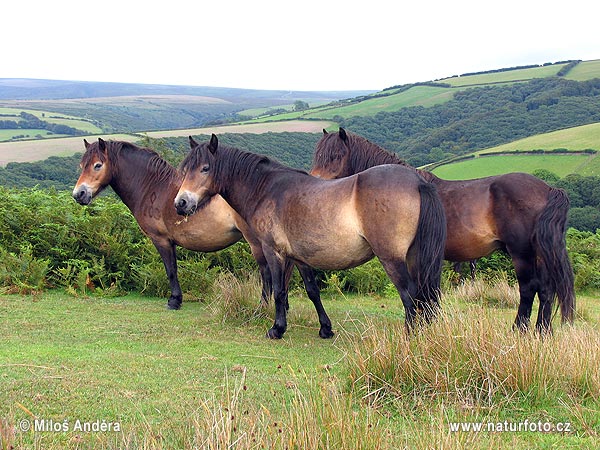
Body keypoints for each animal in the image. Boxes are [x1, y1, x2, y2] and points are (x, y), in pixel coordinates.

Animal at [71, 138, 274, 310]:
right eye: (81, 165)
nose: (79, 194)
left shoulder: (161, 240)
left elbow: (170, 270)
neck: (153, 187)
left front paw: (174, 301)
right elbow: (174, 268)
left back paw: (262, 307)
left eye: (98, 165)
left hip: (256, 243)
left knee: (266, 272)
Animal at [173, 135, 446, 340]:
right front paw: (325, 328)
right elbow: (312, 290)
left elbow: (278, 290)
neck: (267, 189)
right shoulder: (300, 257)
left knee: (410, 296)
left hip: (392, 259)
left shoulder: (273, 251)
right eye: (185, 170)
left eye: (205, 168)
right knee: (424, 298)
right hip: (413, 257)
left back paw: (410, 338)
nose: (181, 203)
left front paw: (277, 329)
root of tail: (418, 182)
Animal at [312, 128, 576, 332]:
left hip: (522, 253)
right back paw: (542, 332)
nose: (314, 181)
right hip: (539, 253)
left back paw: (519, 330)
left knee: (529, 289)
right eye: (318, 156)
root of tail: (548, 189)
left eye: (336, 156)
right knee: (546, 289)